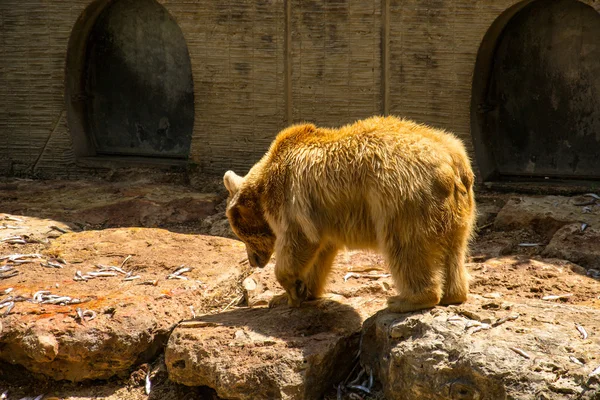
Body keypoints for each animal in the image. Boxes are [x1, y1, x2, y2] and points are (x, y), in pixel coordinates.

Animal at [223, 115, 476, 312]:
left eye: (242, 235)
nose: (254, 261)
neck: (264, 186)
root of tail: (452, 162)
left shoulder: (293, 200)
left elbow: (299, 240)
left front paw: (292, 289)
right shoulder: (324, 217)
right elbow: (321, 253)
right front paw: (296, 292)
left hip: (401, 200)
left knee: (406, 247)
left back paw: (405, 300)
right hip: (457, 209)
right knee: (454, 250)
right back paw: (454, 294)